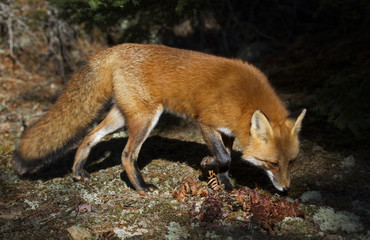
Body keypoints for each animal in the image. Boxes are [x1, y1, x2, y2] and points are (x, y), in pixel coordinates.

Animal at [13, 43, 304, 193]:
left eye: (290, 162)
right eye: (272, 164)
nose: (286, 190)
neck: (245, 101)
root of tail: (114, 49)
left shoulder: (227, 132)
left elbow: (227, 161)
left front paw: (225, 185)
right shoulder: (205, 122)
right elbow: (222, 158)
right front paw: (205, 164)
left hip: (121, 117)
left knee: (88, 136)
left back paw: (77, 171)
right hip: (146, 118)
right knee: (126, 154)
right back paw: (142, 187)